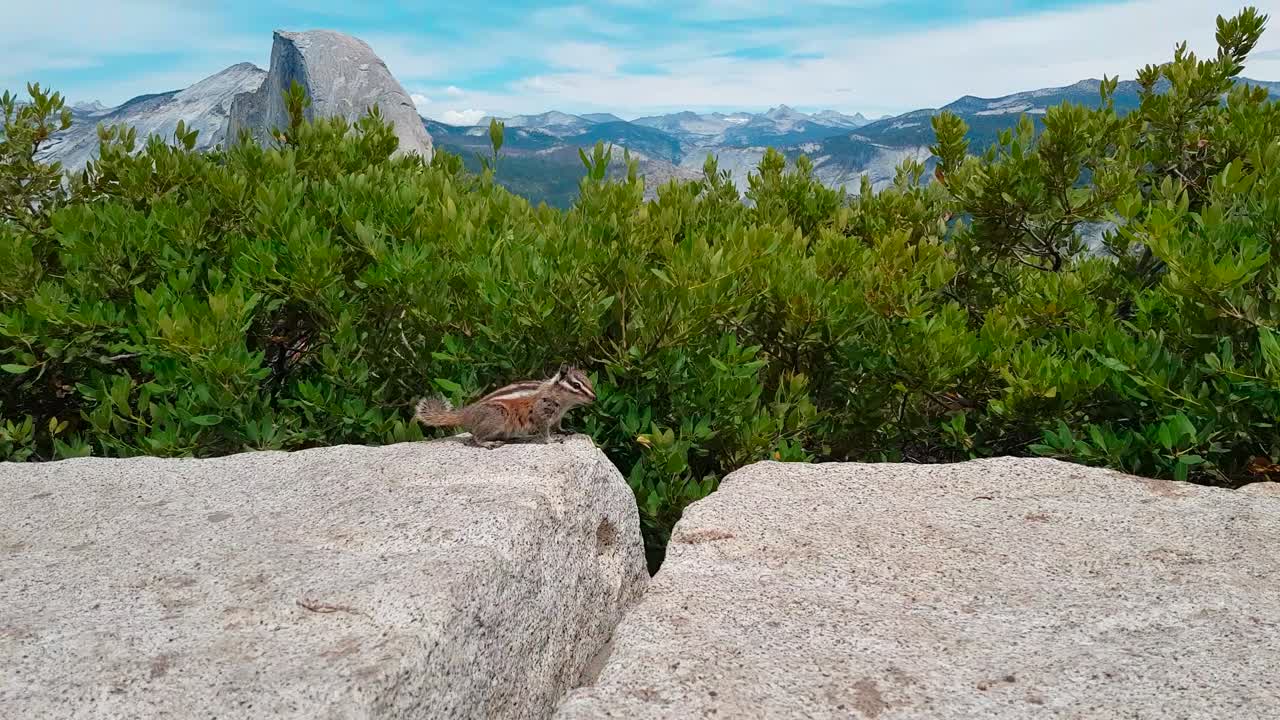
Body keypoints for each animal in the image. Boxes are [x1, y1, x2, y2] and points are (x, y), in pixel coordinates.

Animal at [414, 365, 597, 448]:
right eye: (576, 385)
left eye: (588, 381)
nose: (594, 397)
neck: (564, 402)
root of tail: (468, 413)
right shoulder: (541, 413)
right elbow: (544, 430)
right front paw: (551, 440)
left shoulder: (558, 416)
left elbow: (558, 426)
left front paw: (565, 431)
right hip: (499, 415)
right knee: (476, 436)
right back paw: (487, 443)